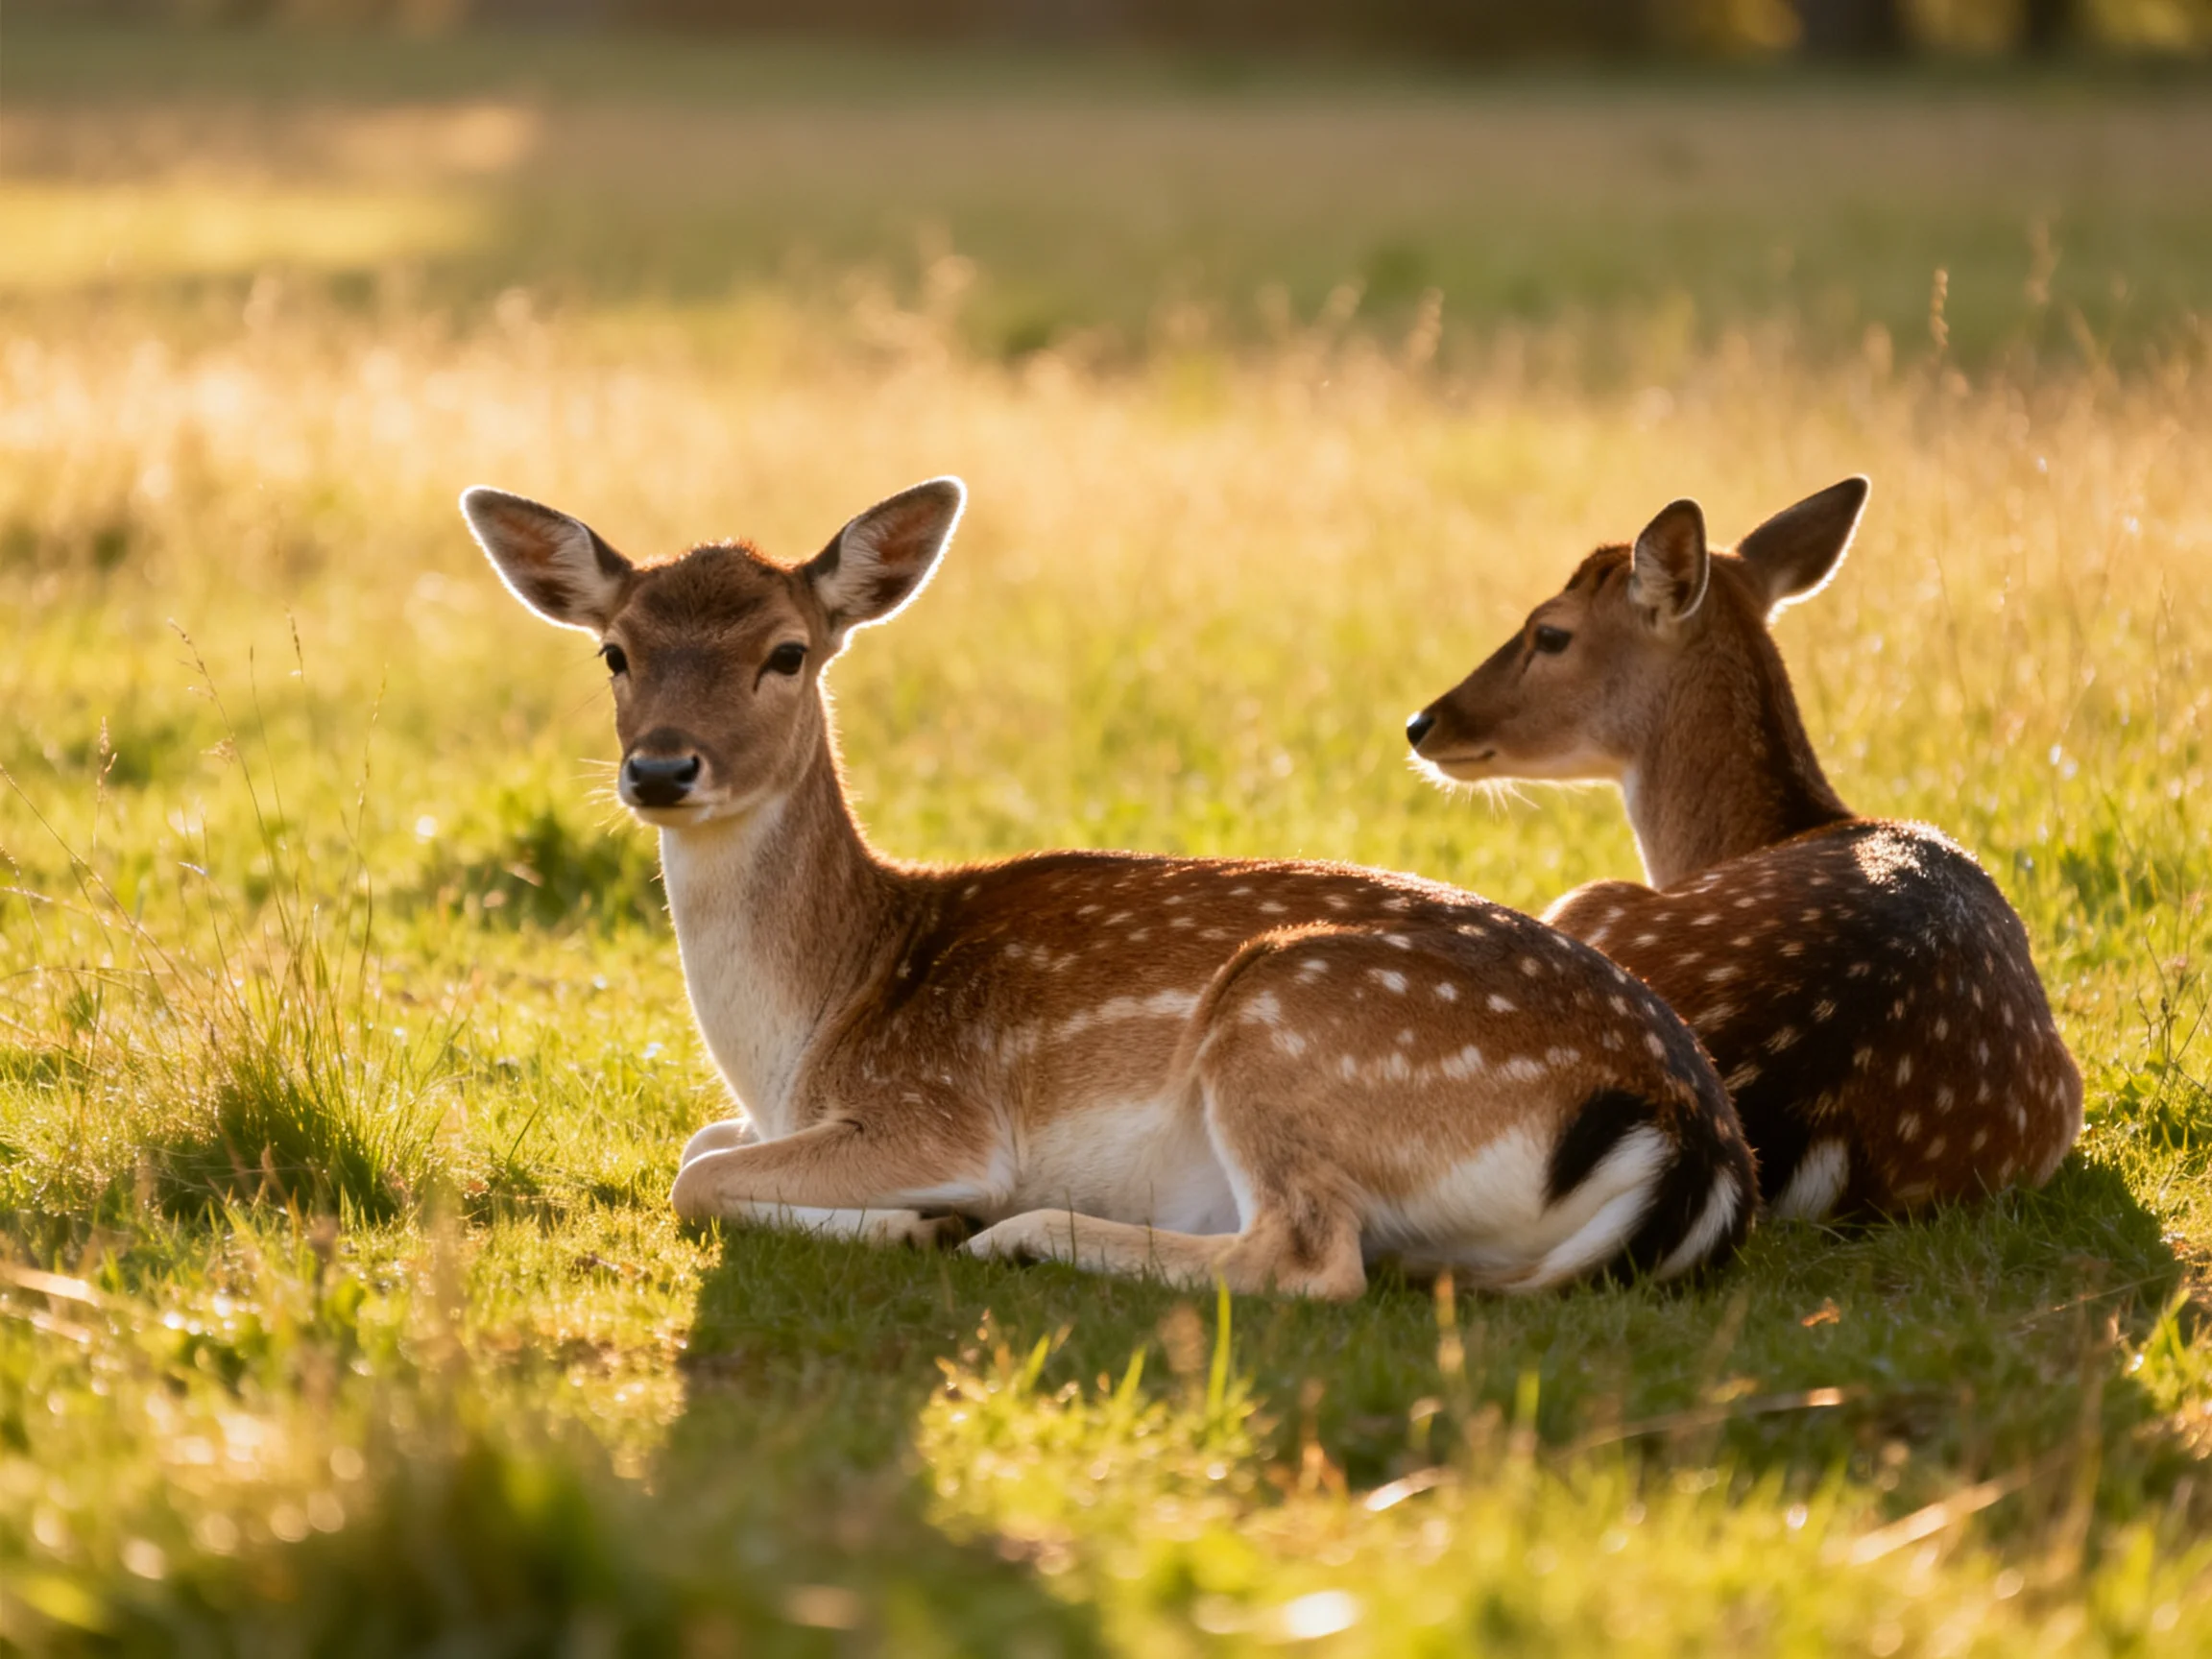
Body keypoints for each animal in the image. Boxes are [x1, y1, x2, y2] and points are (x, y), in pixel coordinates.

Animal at [460, 475, 1756, 1298]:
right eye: (614, 652)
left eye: (787, 652)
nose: (660, 767)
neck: (805, 1037)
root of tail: (1686, 1140)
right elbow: (696, 1145)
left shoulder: (935, 1108)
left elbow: (697, 1177)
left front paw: (920, 1219)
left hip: (1289, 1019)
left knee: (1309, 1259)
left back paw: (1018, 1237)